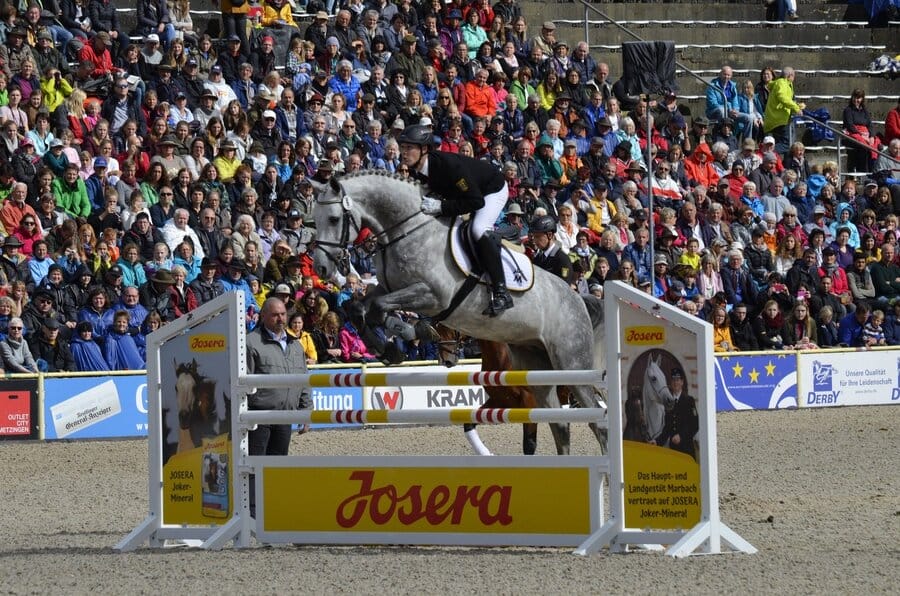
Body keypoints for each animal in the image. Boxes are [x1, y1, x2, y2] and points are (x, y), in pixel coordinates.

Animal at [312, 172, 612, 456]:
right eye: (314, 220)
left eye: (334, 218)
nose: (322, 268)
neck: (407, 231)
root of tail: (578, 300)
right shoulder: (387, 288)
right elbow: (359, 307)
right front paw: (389, 346)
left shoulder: (432, 295)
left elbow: (378, 308)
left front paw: (407, 333)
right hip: (537, 365)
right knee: (560, 425)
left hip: (571, 363)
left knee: (598, 422)